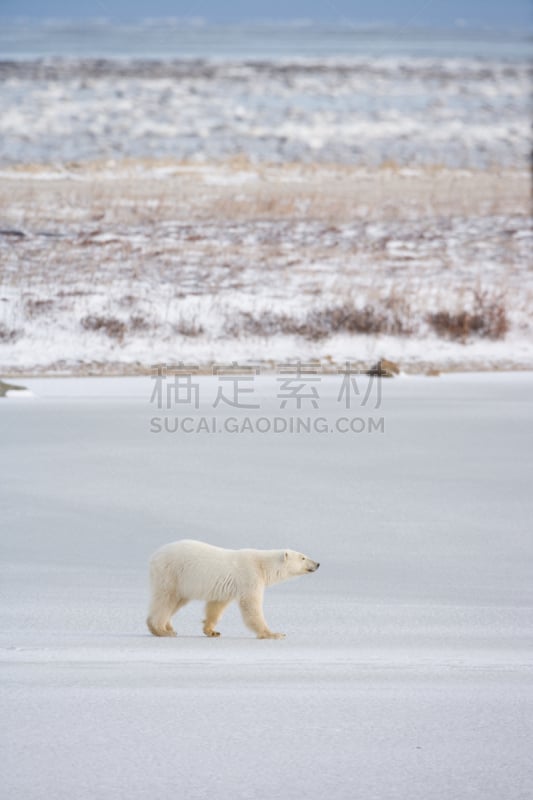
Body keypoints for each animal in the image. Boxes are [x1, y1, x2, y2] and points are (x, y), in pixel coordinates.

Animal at [145, 540, 318, 640]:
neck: (262, 565)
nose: (317, 564)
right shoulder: (250, 577)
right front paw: (274, 634)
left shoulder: (226, 589)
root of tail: (154, 556)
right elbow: (251, 606)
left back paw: (168, 627)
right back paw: (162, 630)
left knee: (176, 601)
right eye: (303, 557)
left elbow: (216, 606)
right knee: (166, 599)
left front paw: (211, 631)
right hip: (171, 573)